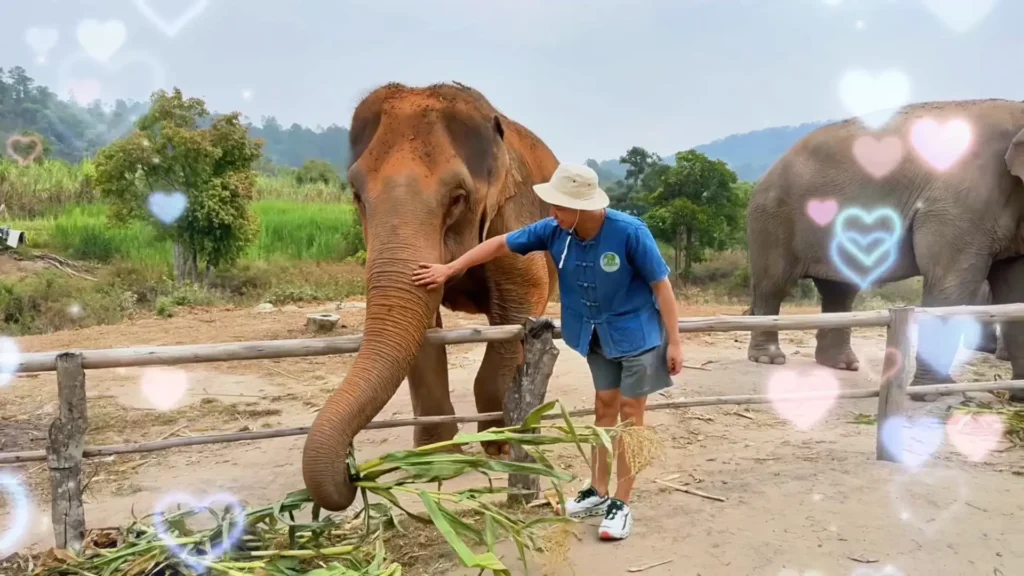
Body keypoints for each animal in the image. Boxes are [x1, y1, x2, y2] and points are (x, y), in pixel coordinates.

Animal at [301, 82, 560, 512]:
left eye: (458, 197)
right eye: (356, 194)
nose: (351, 473)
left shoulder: (514, 212)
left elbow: (520, 302)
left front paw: (500, 447)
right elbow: (423, 330)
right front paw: (435, 460)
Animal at [744, 98, 1024, 401]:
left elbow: (1014, 290)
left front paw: (1018, 394)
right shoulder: (962, 202)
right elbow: (950, 282)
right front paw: (930, 395)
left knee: (839, 290)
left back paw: (841, 364)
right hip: (773, 218)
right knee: (774, 283)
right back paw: (769, 359)